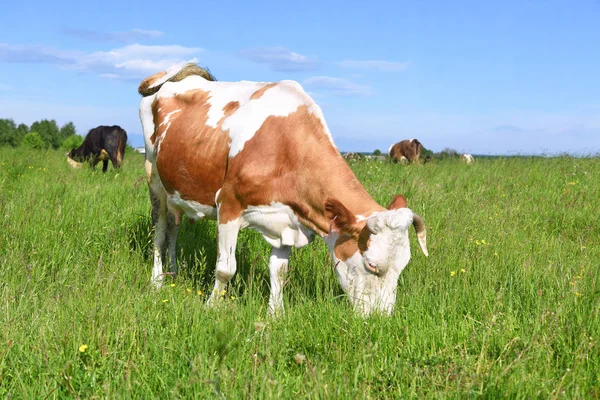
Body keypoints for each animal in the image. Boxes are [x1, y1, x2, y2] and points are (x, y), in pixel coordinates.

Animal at [137, 62, 426, 316]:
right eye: (371, 264)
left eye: (404, 265)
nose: (381, 318)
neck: (285, 146)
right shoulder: (228, 206)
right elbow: (225, 268)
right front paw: (212, 307)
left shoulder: (287, 220)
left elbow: (279, 271)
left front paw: (275, 314)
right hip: (154, 177)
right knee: (160, 231)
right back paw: (157, 280)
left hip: (176, 192)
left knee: (174, 227)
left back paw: (173, 272)